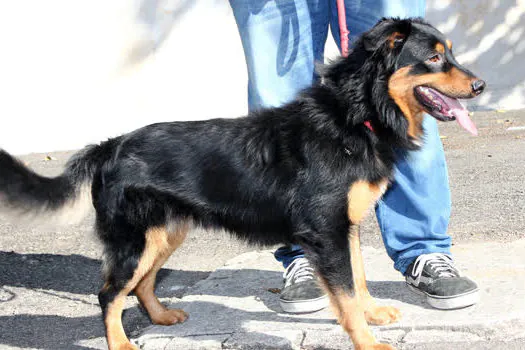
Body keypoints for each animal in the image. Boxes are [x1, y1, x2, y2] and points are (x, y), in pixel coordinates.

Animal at [0, 18, 484, 350]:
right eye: (434, 58)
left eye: (449, 53)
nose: (480, 85)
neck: (355, 115)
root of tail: (110, 145)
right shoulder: (326, 232)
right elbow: (344, 294)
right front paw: (365, 340)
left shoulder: (343, 228)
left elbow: (359, 279)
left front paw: (372, 313)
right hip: (134, 240)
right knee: (108, 294)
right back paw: (120, 343)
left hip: (164, 234)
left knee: (140, 285)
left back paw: (160, 317)